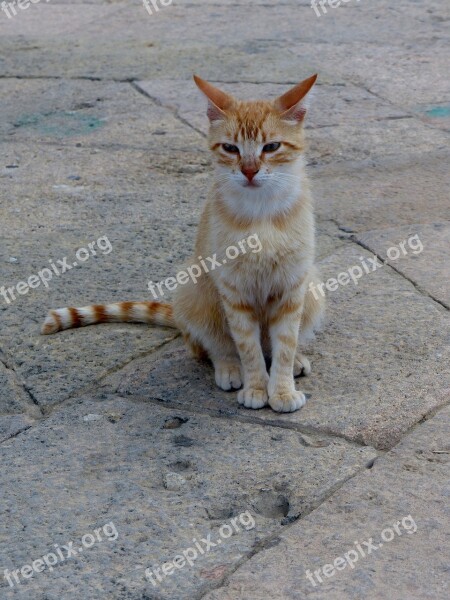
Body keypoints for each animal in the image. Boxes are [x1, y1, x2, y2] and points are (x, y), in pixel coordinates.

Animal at [42, 74, 324, 412]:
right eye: (230, 148)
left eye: (271, 147)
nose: (249, 171)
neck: (261, 212)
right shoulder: (234, 292)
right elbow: (248, 347)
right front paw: (257, 386)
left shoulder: (293, 286)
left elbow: (284, 344)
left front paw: (281, 388)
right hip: (193, 289)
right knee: (209, 346)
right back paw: (230, 367)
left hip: (314, 288)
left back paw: (296, 361)